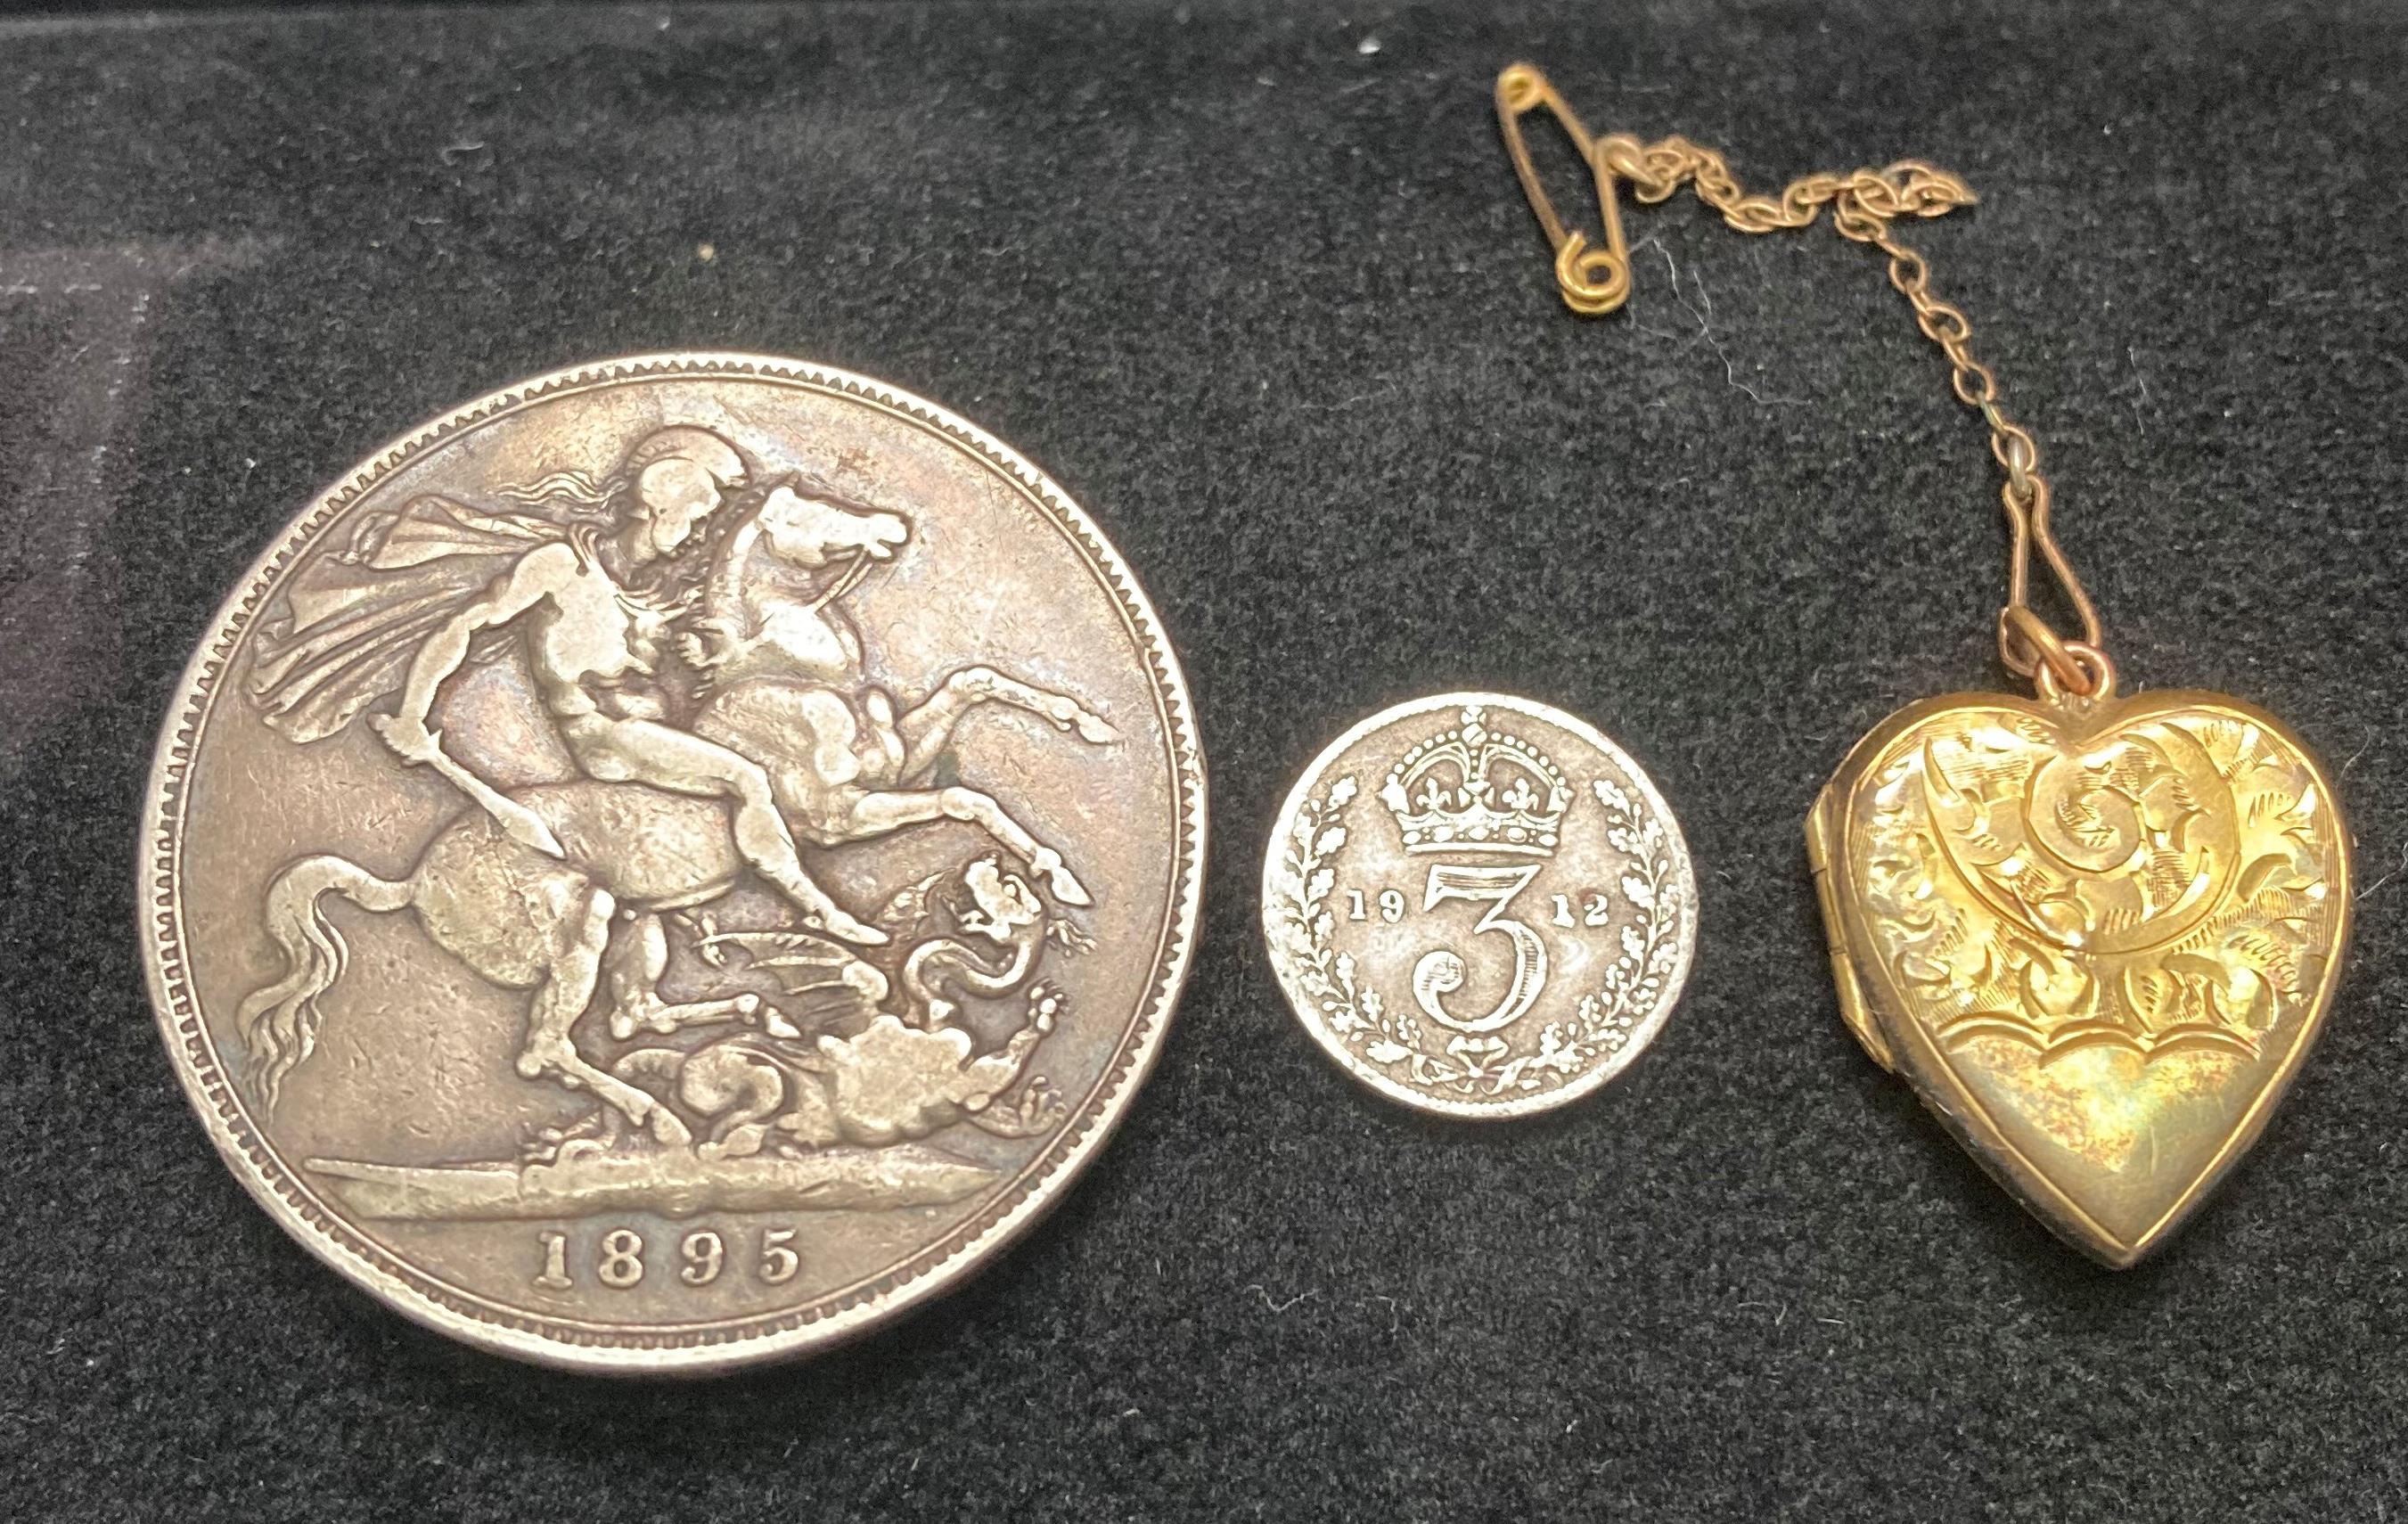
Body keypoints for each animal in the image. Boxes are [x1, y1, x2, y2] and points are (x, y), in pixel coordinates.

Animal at [234, 469, 1117, 1136]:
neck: (781, 676)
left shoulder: (898, 756)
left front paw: (1086, 737)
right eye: (812, 510)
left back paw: (764, 1018)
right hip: (580, 923)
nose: (894, 526)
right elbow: (963, 800)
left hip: (638, 926)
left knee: (634, 1016)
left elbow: (975, 687)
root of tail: (414, 882)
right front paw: (859, 924)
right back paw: (660, 1112)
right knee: (547, 1050)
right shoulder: (839, 816)